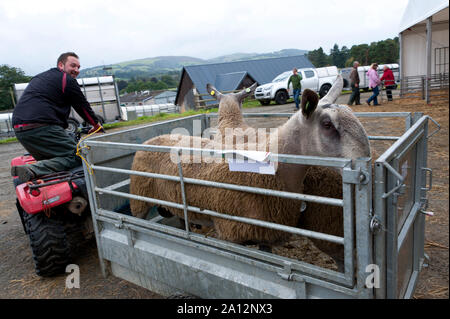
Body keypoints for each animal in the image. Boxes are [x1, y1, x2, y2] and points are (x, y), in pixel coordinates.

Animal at [129, 75, 370, 250]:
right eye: (327, 124)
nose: (366, 159)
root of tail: (152, 139)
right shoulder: (229, 233)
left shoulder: (264, 233)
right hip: (139, 199)